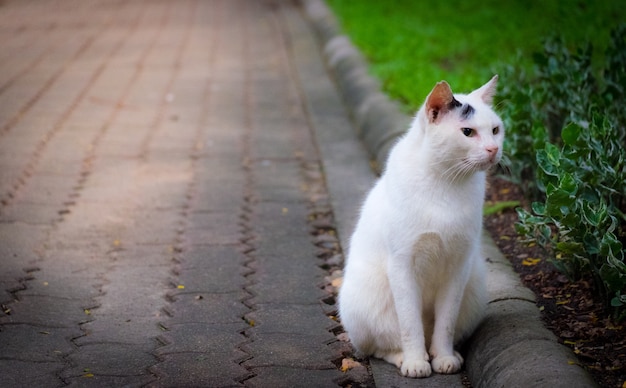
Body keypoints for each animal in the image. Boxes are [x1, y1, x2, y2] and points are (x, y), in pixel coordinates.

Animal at [336, 76, 502, 378]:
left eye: (495, 130)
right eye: (468, 132)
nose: (494, 149)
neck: (446, 183)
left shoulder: (458, 267)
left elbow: (446, 322)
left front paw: (444, 356)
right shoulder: (402, 265)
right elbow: (409, 324)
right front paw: (415, 362)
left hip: (474, 287)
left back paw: (440, 353)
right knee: (379, 347)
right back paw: (406, 356)